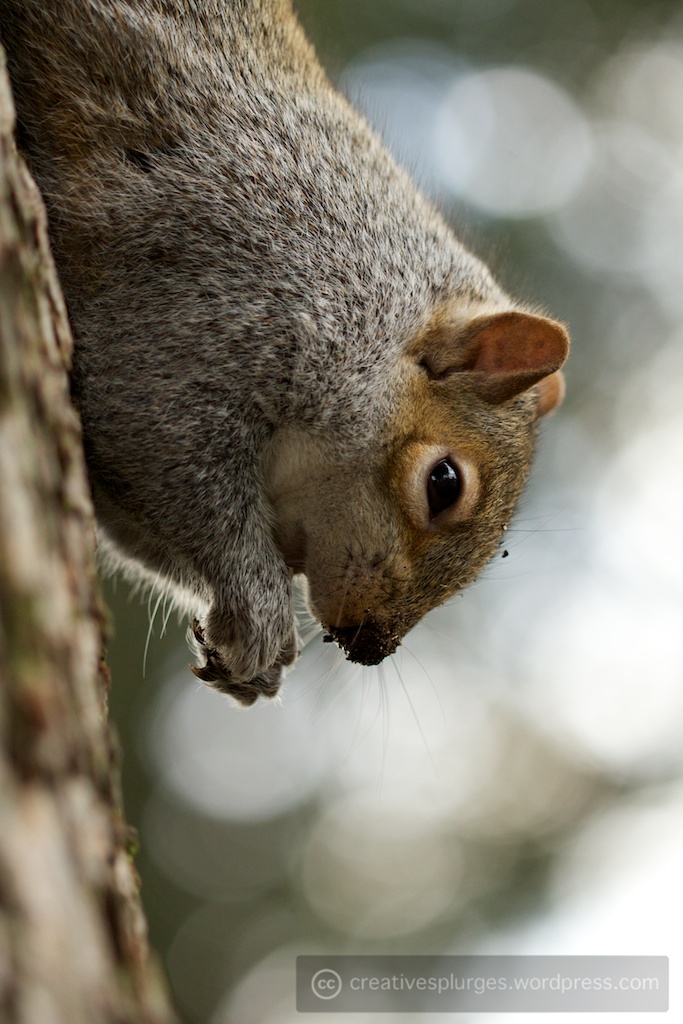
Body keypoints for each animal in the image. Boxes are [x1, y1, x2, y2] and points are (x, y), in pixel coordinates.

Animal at [1, 0, 569, 705]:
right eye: (444, 483)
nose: (370, 648)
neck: (364, 301)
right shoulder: (207, 310)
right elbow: (170, 458)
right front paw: (260, 617)